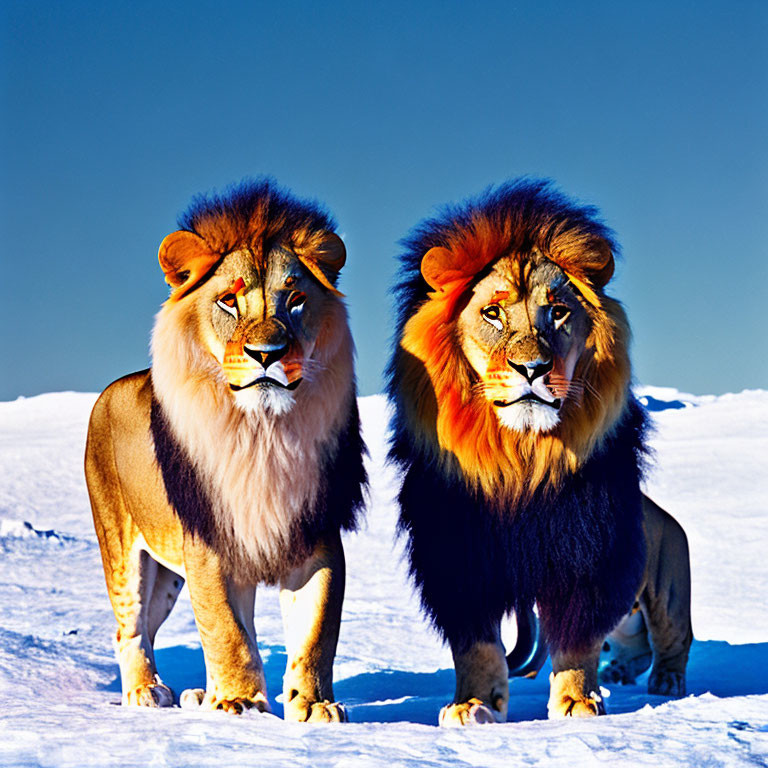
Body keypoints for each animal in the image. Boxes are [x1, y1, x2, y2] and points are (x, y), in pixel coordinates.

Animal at [85, 180, 368, 720]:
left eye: (296, 299)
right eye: (229, 303)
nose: (267, 355)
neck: (263, 433)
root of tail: (111, 390)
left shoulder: (315, 536)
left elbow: (317, 631)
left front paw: (314, 705)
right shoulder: (211, 544)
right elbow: (226, 630)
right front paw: (239, 703)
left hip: (169, 575)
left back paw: (198, 695)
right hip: (124, 551)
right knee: (130, 628)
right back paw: (145, 692)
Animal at [388, 180, 692, 728]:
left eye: (559, 310)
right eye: (493, 312)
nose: (532, 368)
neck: (519, 457)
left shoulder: (587, 557)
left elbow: (577, 641)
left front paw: (577, 702)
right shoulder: (461, 559)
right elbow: (478, 647)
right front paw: (473, 705)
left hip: (669, 587)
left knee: (673, 641)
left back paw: (667, 682)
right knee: (628, 644)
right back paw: (621, 672)